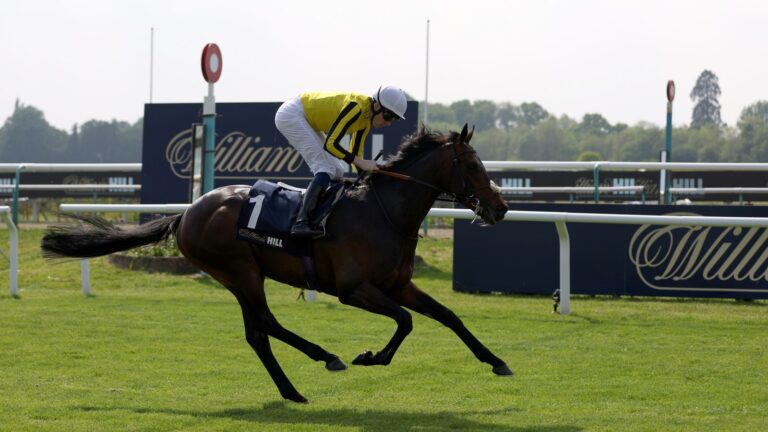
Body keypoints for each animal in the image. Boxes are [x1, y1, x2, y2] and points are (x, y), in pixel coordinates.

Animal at [40, 123, 510, 404]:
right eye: (472, 164)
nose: (501, 208)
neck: (383, 212)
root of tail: (186, 212)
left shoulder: (398, 285)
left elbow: (447, 316)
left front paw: (497, 361)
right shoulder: (353, 289)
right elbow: (405, 321)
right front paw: (370, 356)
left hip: (238, 275)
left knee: (257, 332)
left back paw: (293, 388)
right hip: (240, 270)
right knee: (265, 323)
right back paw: (325, 357)